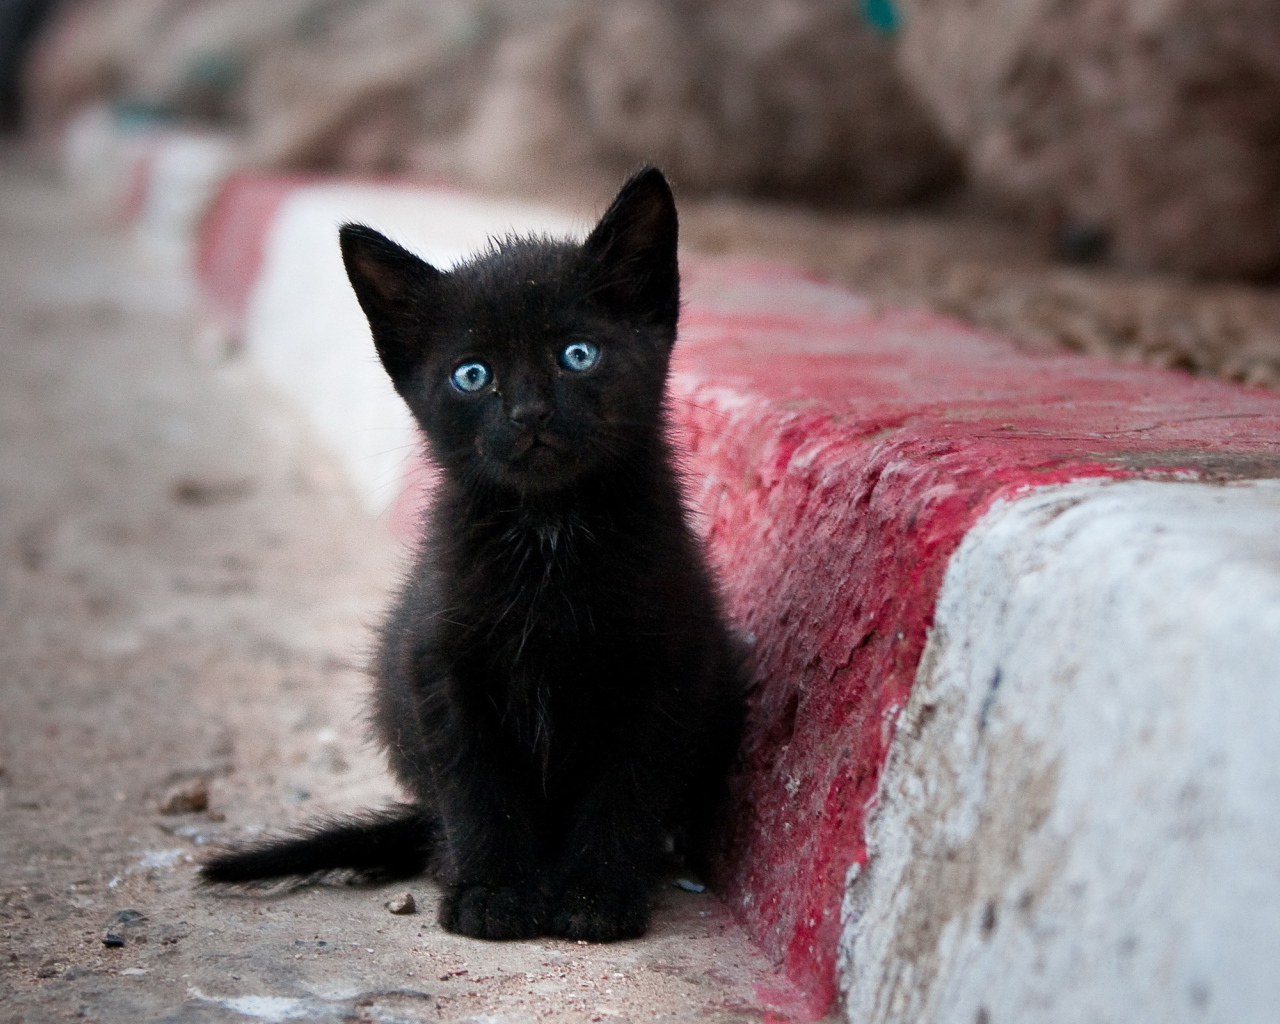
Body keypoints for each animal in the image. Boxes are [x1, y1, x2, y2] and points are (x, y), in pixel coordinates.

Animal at [198, 167, 742, 942]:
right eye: (473, 374)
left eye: (578, 355)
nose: (529, 413)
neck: (550, 531)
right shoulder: (438, 663)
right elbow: (475, 786)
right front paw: (493, 892)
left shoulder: (666, 666)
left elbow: (626, 786)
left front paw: (595, 896)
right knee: (439, 818)